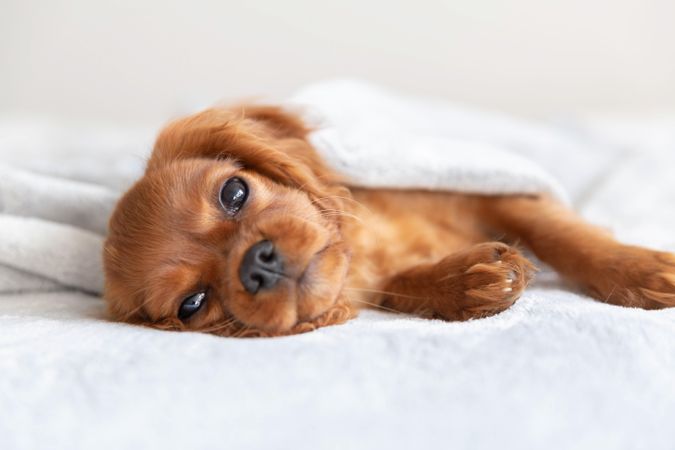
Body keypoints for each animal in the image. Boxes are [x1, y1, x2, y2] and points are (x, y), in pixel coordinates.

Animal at [101, 106, 675, 338]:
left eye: (234, 192)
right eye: (192, 304)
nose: (256, 266)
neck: (371, 245)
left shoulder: (496, 193)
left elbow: (561, 235)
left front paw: (642, 271)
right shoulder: (376, 285)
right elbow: (401, 287)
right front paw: (466, 282)